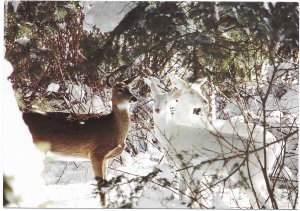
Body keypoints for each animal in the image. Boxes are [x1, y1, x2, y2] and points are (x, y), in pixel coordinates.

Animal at [22, 76, 137, 206]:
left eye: (130, 89)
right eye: (120, 90)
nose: (134, 98)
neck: (113, 127)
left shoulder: (106, 158)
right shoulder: (96, 153)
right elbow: (100, 186)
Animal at [145, 77, 282, 208]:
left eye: (167, 102)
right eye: (154, 100)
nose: (157, 110)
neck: (171, 131)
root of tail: (276, 147)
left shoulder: (189, 162)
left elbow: (190, 191)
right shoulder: (185, 167)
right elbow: (183, 190)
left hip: (249, 174)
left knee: (264, 200)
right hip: (258, 176)